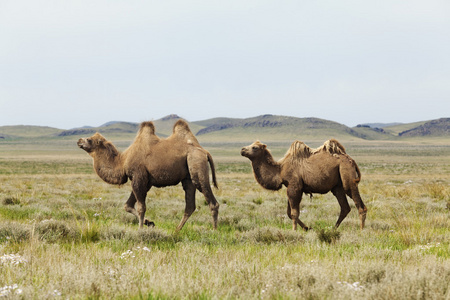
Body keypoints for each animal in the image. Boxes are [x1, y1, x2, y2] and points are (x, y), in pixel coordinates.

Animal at [78, 119, 221, 230]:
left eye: (89, 140)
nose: (79, 140)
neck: (123, 161)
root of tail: (204, 151)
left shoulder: (138, 176)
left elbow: (141, 207)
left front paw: (140, 229)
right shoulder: (143, 181)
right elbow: (127, 205)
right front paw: (149, 223)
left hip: (196, 163)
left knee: (211, 200)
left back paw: (213, 230)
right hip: (188, 176)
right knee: (190, 205)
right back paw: (177, 230)